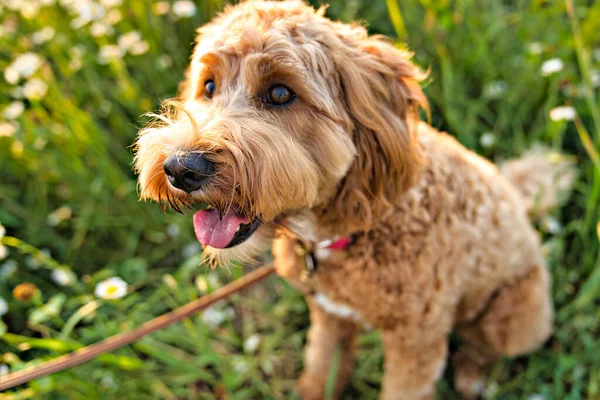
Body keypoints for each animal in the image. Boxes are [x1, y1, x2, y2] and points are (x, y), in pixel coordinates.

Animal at [134, 2, 576, 396]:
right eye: (208, 86)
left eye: (280, 93)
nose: (181, 168)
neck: (356, 225)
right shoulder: (330, 316)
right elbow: (320, 372)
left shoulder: (416, 344)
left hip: (515, 316)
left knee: (485, 345)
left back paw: (471, 374)